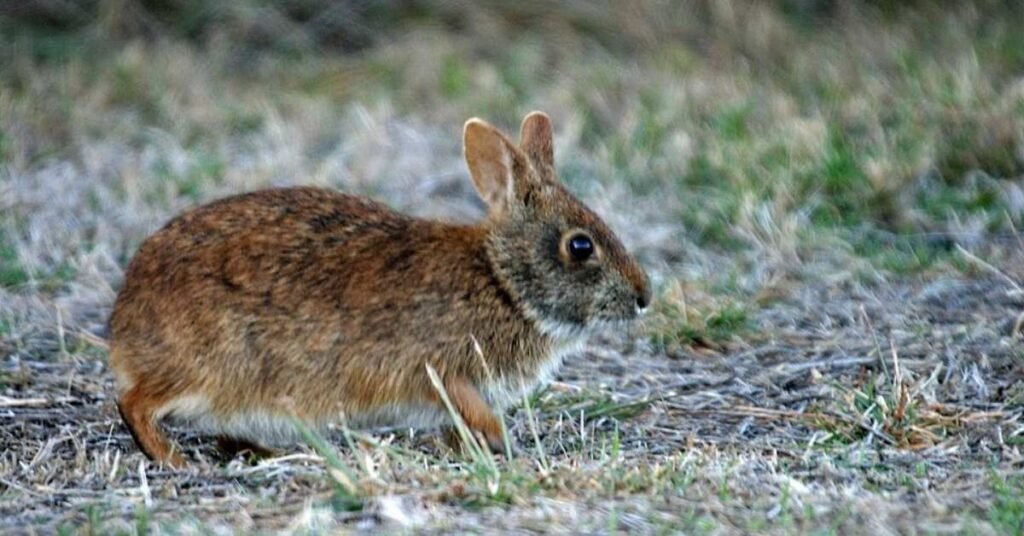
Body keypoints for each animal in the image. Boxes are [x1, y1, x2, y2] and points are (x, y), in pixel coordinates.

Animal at [109, 111, 651, 467]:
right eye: (580, 246)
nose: (644, 297)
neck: (502, 281)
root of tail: (123, 327)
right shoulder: (443, 367)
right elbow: (469, 407)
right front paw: (503, 441)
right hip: (211, 367)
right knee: (134, 402)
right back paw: (172, 459)